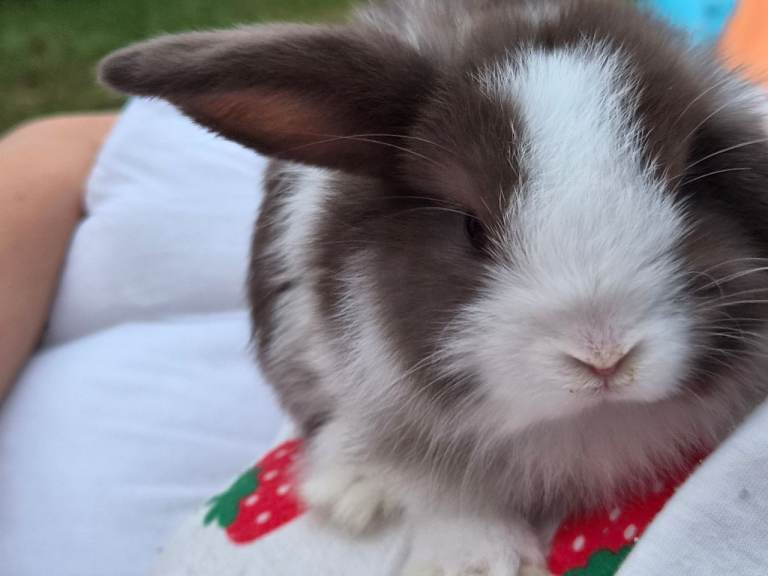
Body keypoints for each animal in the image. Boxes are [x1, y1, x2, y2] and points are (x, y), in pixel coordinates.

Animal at [100, 1, 768, 574]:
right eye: (472, 227)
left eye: (687, 190)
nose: (604, 357)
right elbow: (439, 490)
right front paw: (479, 563)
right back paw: (353, 490)